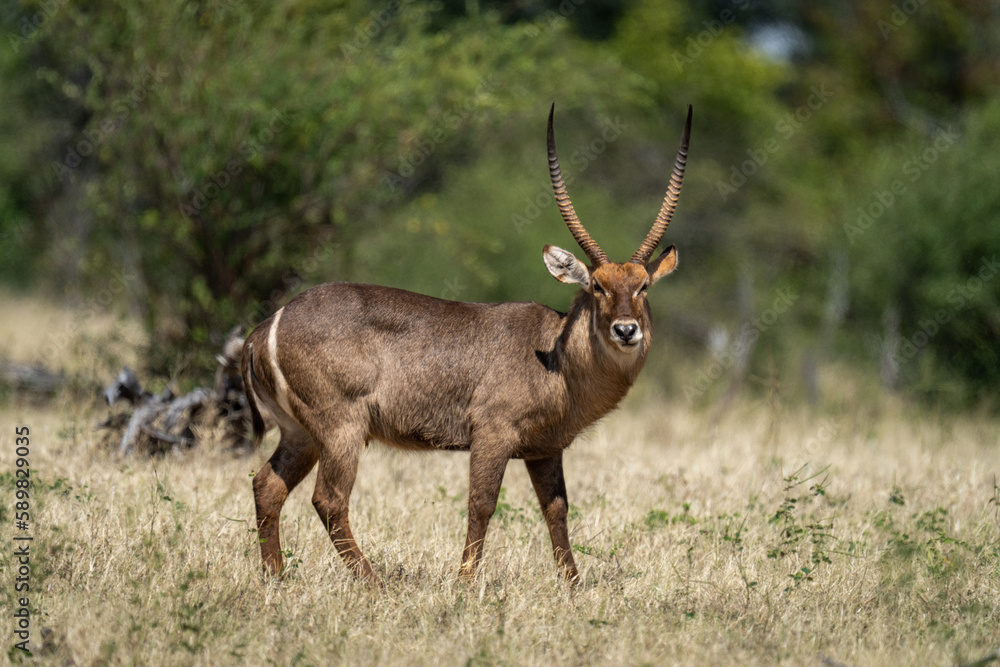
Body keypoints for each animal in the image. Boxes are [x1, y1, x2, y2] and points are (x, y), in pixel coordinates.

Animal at [244, 102, 688, 580]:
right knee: (328, 499)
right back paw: (374, 583)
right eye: (598, 287)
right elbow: (482, 504)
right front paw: (464, 582)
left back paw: (276, 577)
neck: (556, 358)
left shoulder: (545, 449)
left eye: (643, 286)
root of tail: (268, 325)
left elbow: (557, 510)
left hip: (301, 432)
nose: (626, 329)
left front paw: (572, 584)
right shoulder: (492, 433)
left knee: (267, 485)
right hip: (340, 426)